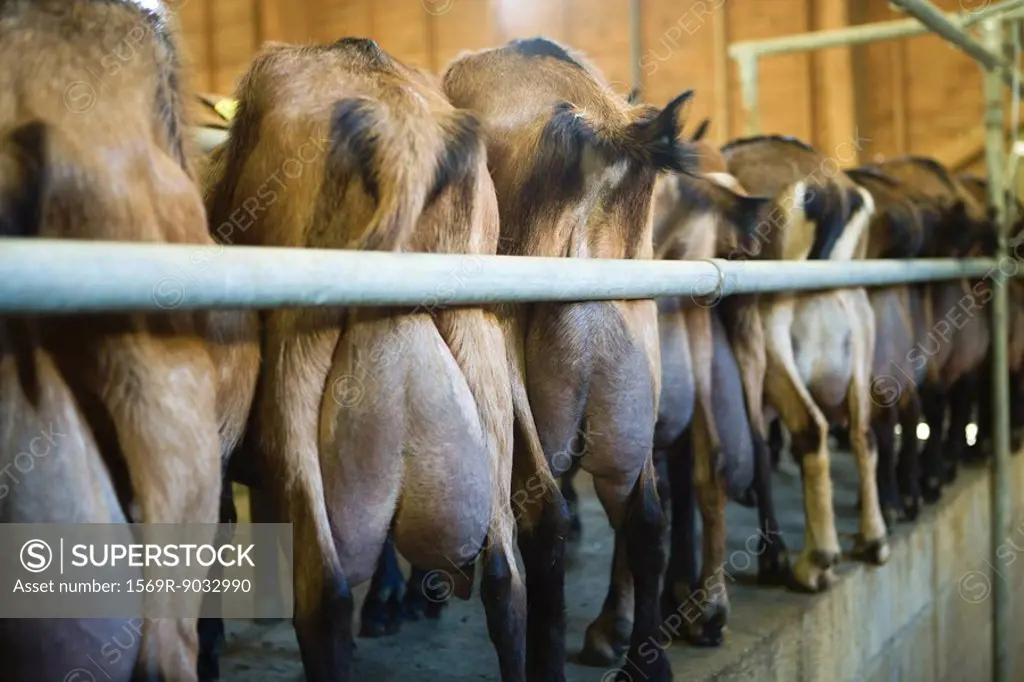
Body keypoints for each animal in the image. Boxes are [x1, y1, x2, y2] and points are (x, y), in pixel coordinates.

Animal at [720, 134, 888, 589]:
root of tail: (831, 192)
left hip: (767, 326)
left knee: (803, 429)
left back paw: (811, 559)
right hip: (858, 318)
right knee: (862, 432)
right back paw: (871, 540)